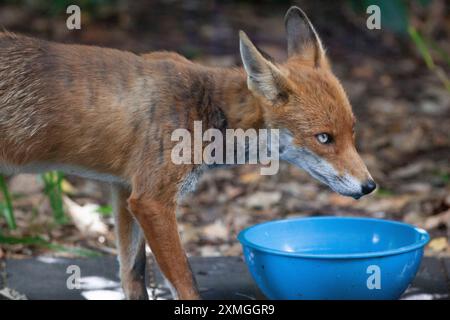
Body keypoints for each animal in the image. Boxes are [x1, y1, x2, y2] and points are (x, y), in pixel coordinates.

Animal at [0, 6, 376, 298]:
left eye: (352, 131)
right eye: (324, 138)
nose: (370, 186)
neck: (202, 108)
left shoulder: (124, 191)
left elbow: (132, 274)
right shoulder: (151, 200)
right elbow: (186, 282)